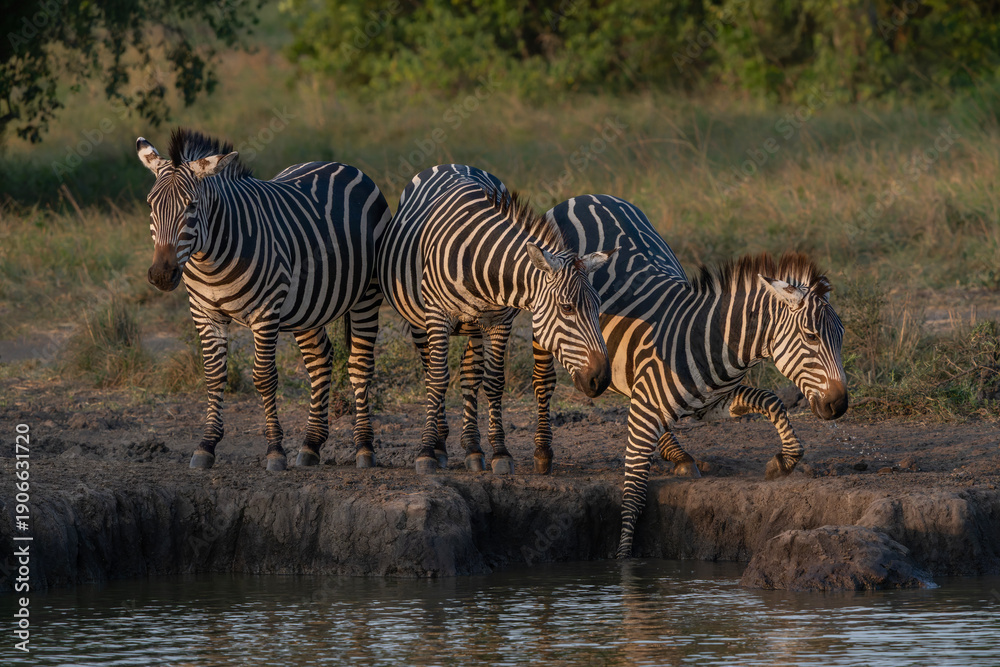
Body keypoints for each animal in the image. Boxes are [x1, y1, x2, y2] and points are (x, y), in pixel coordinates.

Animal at [136, 128, 391, 471]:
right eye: (151, 204)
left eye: (191, 205)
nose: (162, 275)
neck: (208, 259)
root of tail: (343, 165)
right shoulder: (204, 313)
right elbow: (214, 375)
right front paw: (206, 445)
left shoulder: (266, 312)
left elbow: (264, 378)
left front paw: (274, 451)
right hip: (309, 305)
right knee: (320, 360)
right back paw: (311, 445)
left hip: (367, 295)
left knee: (359, 364)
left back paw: (364, 447)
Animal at [377, 164, 615, 474]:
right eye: (566, 308)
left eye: (597, 307)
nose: (602, 379)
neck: (479, 261)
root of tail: (451, 164)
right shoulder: (437, 315)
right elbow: (438, 379)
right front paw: (427, 450)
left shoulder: (499, 322)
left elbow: (494, 381)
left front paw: (500, 451)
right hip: (418, 319)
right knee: (431, 372)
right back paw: (440, 443)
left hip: (474, 327)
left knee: (469, 374)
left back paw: (472, 448)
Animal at [461, 194, 847, 557]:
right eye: (811, 337)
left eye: (841, 336)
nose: (839, 405)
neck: (710, 339)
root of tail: (587, 196)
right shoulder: (658, 406)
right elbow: (633, 496)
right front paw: (624, 562)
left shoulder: (714, 402)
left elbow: (770, 400)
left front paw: (782, 462)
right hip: (547, 326)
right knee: (544, 382)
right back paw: (543, 452)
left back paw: (677, 453)